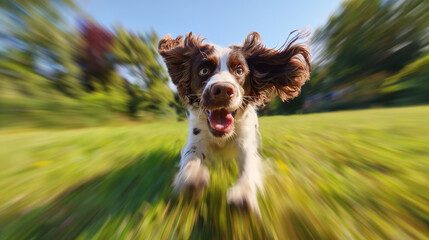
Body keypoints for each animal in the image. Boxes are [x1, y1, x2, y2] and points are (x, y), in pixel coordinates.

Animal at [156, 31, 308, 215]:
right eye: (204, 70)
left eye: (239, 70)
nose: (222, 90)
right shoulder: (196, 139)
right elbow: (190, 157)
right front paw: (192, 178)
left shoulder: (246, 142)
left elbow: (249, 164)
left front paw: (243, 193)